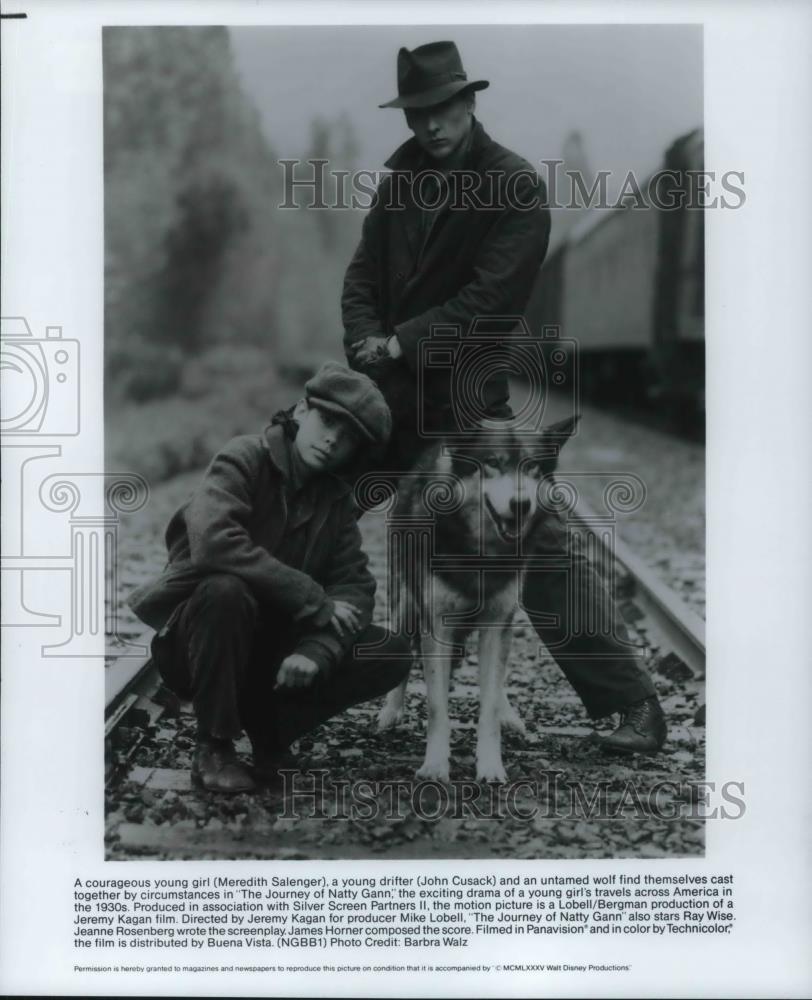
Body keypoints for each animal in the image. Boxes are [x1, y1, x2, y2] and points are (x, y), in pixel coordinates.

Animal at [378, 412, 580, 780]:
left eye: (532, 467)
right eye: (492, 464)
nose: (521, 505)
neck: (482, 554)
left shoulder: (497, 624)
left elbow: (487, 709)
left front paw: (490, 766)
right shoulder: (436, 626)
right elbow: (437, 706)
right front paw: (435, 766)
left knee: (496, 684)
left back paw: (509, 713)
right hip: (406, 607)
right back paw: (391, 712)